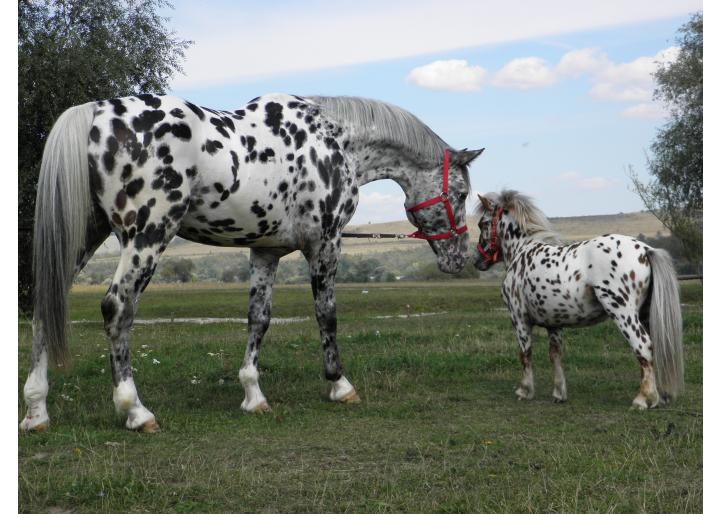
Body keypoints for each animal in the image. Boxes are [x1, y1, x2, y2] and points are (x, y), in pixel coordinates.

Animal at [21, 93, 484, 432]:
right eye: (461, 194)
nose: (462, 257)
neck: (335, 141)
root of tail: (95, 113)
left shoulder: (265, 251)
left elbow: (258, 319)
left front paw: (252, 394)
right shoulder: (326, 243)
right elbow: (327, 314)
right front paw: (339, 384)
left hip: (83, 235)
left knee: (46, 306)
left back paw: (37, 411)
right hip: (148, 236)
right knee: (117, 309)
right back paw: (136, 410)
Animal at [476, 189, 684, 408]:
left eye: (482, 224)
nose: (477, 261)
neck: (522, 251)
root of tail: (646, 250)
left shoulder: (519, 319)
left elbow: (525, 354)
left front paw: (524, 390)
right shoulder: (554, 323)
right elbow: (555, 355)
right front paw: (559, 393)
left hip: (623, 313)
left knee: (643, 346)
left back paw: (643, 399)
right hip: (646, 315)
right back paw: (659, 396)